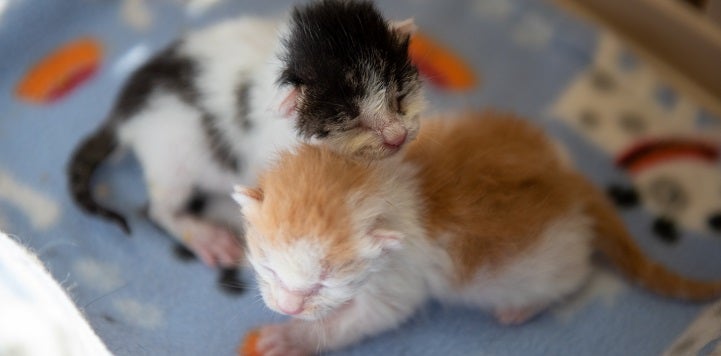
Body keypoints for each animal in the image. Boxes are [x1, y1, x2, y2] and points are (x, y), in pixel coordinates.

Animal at [67, 0, 422, 270]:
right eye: (352, 121)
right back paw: (204, 237)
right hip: (170, 159)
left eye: (399, 97)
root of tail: (124, 113)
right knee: (159, 209)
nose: (397, 137)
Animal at [232, 112, 720, 356]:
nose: (287, 308)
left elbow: (362, 320)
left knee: (574, 280)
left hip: (548, 265)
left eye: (324, 283)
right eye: (268, 268)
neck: (375, 181)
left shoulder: (398, 278)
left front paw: (290, 339)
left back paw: (523, 309)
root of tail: (573, 186)